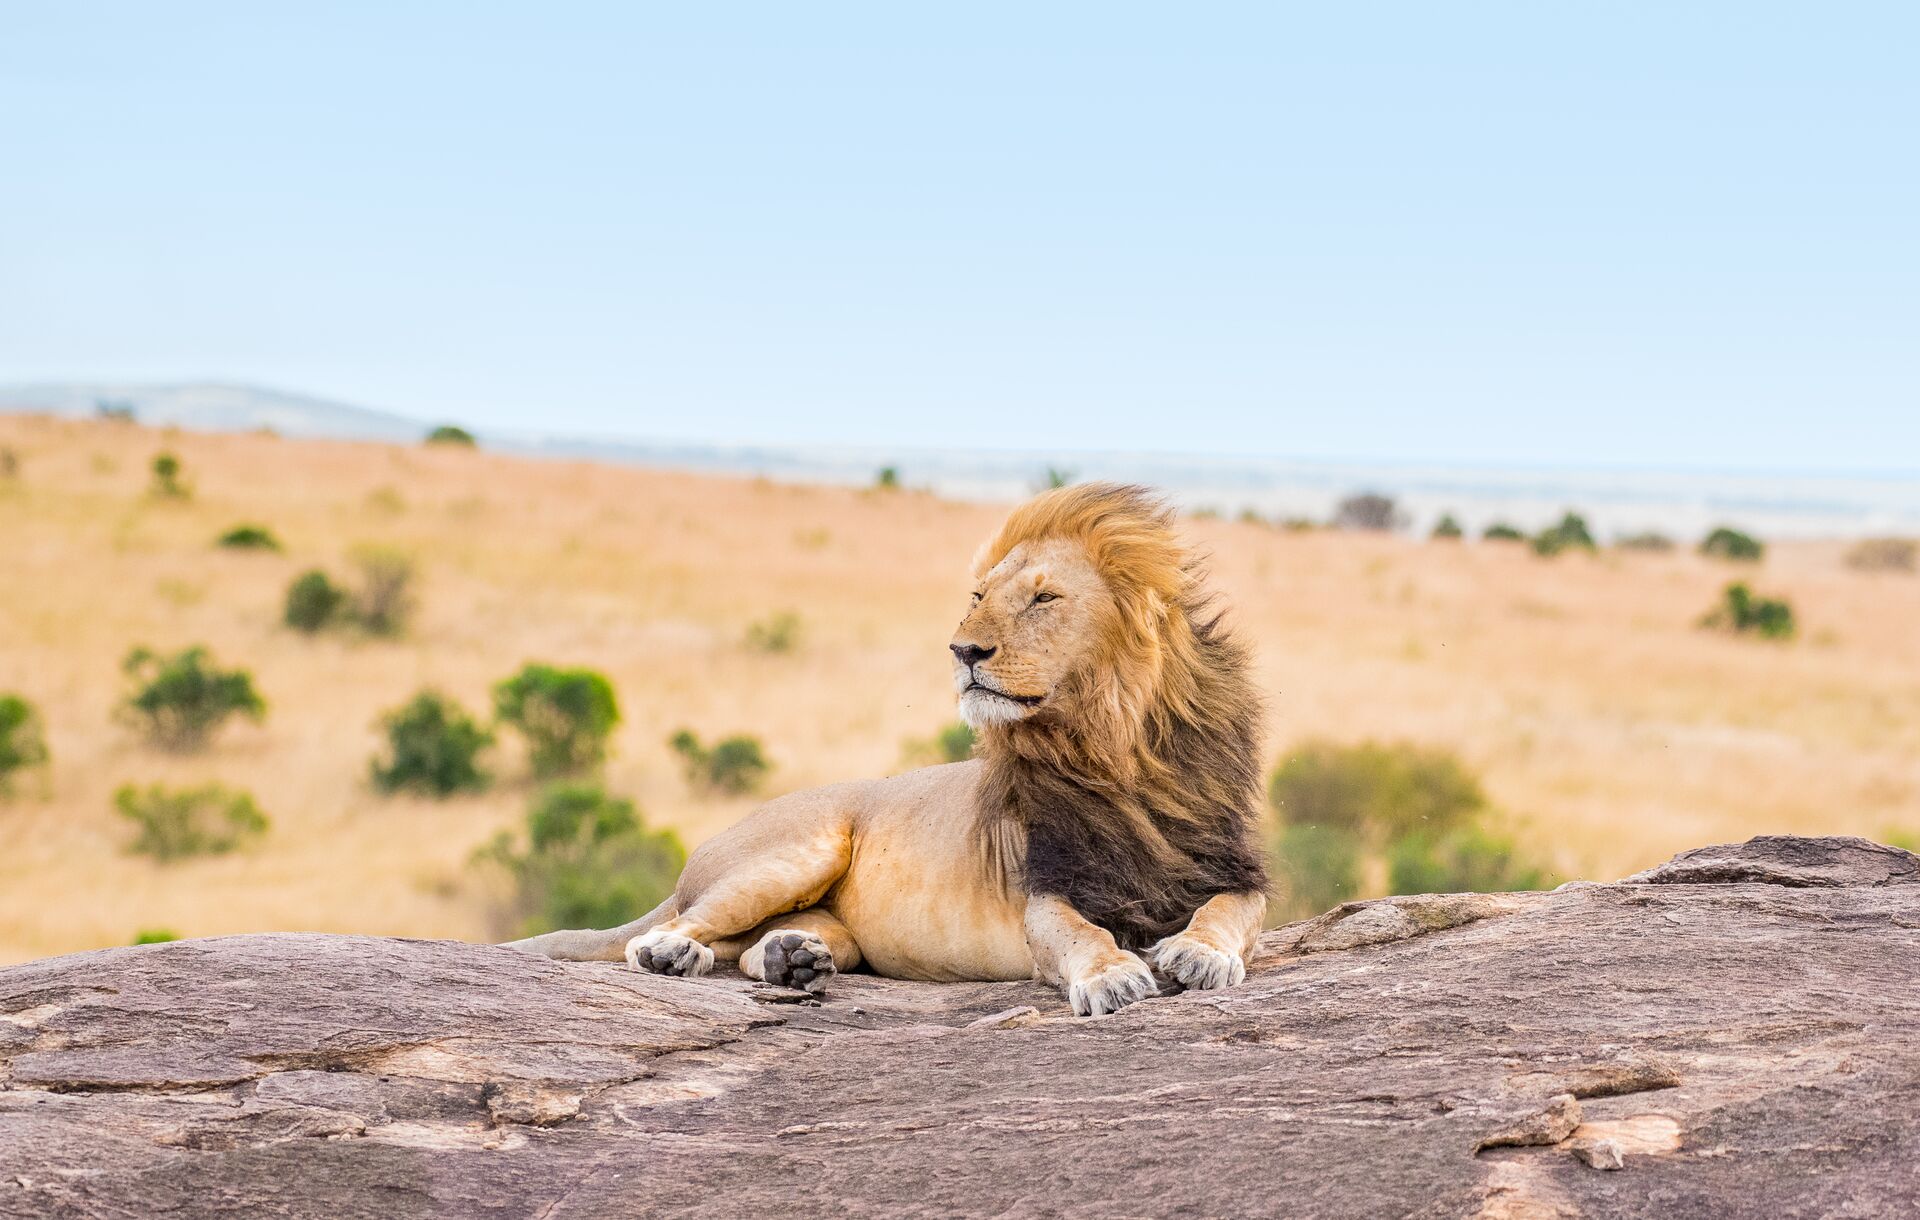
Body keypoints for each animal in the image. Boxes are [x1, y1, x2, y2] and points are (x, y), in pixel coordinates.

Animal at [508, 482, 1270, 1016]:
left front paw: (1199, 956)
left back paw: (789, 960)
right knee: (671, 928)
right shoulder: (1046, 891)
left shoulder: (1230, 868)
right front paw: (1114, 977)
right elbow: (1082, 935)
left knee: (750, 948)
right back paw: (674, 954)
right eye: (978, 596)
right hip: (793, 852)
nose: (963, 650)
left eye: (1044, 598)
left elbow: (1229, 912)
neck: (1113, 748)